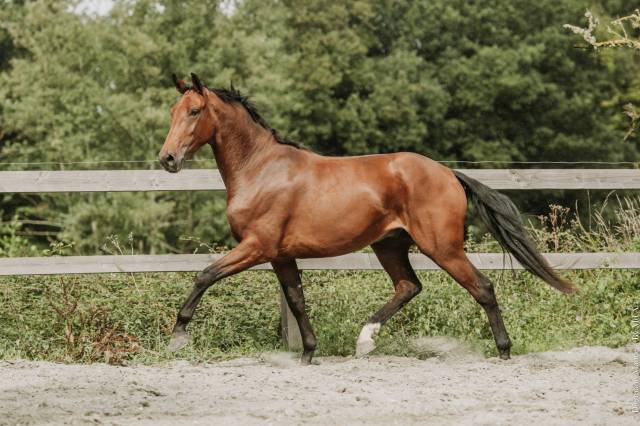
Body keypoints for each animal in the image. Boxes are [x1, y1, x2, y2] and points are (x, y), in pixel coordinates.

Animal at [159, 73, 575, 364]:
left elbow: (205, 275)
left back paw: (504, 350)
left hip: (442, 247)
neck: (260, 169)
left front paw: (177, 337)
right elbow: (296, 300)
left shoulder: (256, 247)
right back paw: (365, 340)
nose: (168, 159)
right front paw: (308, 352)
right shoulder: (280, 255)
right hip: (389, 245)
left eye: (194, 111)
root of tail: (448, 173)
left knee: (482, 287)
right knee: (409, 286)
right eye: (172, 112)